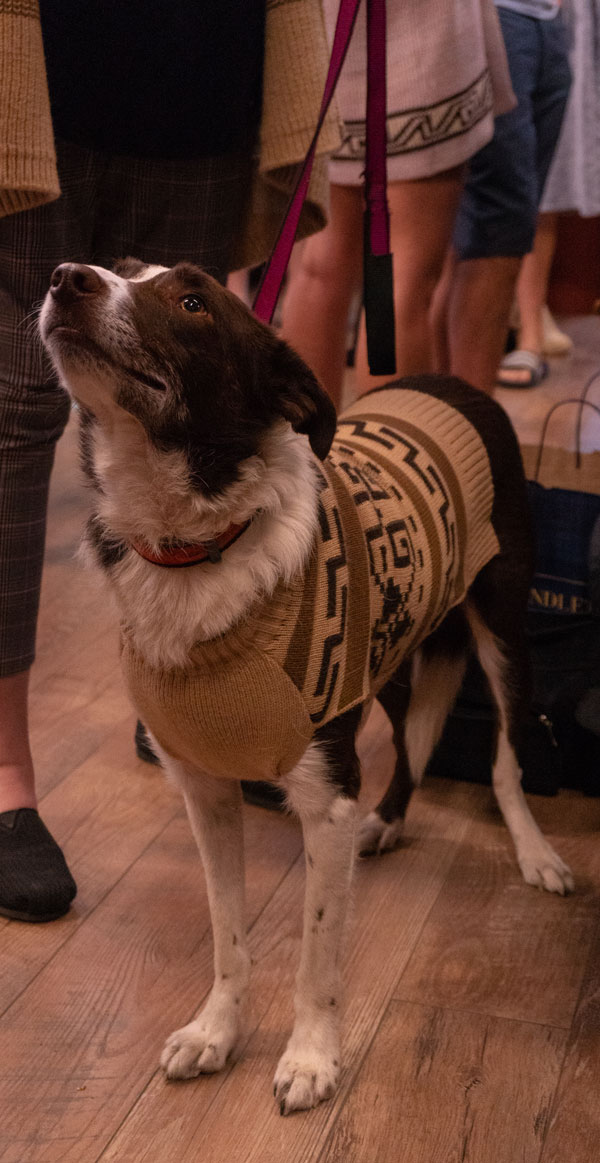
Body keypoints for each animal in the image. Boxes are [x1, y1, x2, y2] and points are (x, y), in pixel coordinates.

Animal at [37, 261, 572, 1116]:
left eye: (192, 301)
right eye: (122, 268)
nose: (65, 277)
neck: (198, 546)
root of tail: (452, 380)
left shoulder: (326, 793)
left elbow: (318, 955)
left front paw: (311, 1058)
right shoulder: (205, 790)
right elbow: (228, 934)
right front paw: (216, 1031)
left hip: (504, 627)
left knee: (506, 757)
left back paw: (534, 851)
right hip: (388, 659)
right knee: (413, 737)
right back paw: (387, 821)